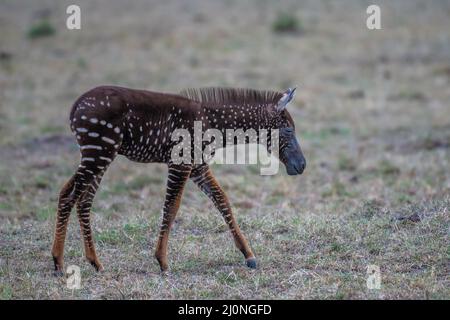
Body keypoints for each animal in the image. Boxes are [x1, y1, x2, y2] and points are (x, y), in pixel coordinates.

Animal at [51, 85, 306, 276]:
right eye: (288, 130)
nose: (302, 165)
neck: (212, 123)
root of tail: (75, 106)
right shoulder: (180, 164)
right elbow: (172, 207)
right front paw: (162, 261)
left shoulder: (197, 166)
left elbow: (222, 200)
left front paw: (249, 255)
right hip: (98, 152)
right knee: (68, 194)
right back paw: (58, 262)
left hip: (100, 155)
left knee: (83, 199)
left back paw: (94, 262)